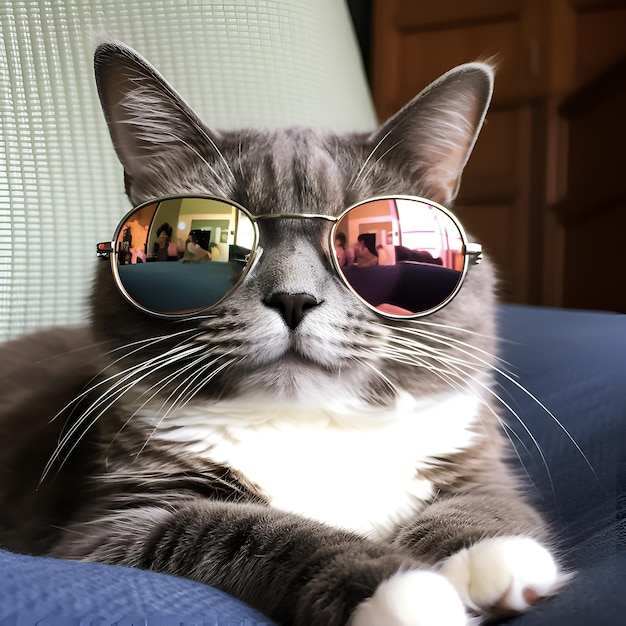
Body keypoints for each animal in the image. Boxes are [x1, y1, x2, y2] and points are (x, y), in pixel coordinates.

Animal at [0, 41, 560, 620]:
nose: (294, 297)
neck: (307, 423)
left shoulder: (464, 452)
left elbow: (488, 498)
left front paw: (493, 555)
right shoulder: (108, 527)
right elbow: (235, 529)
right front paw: (402, 589)